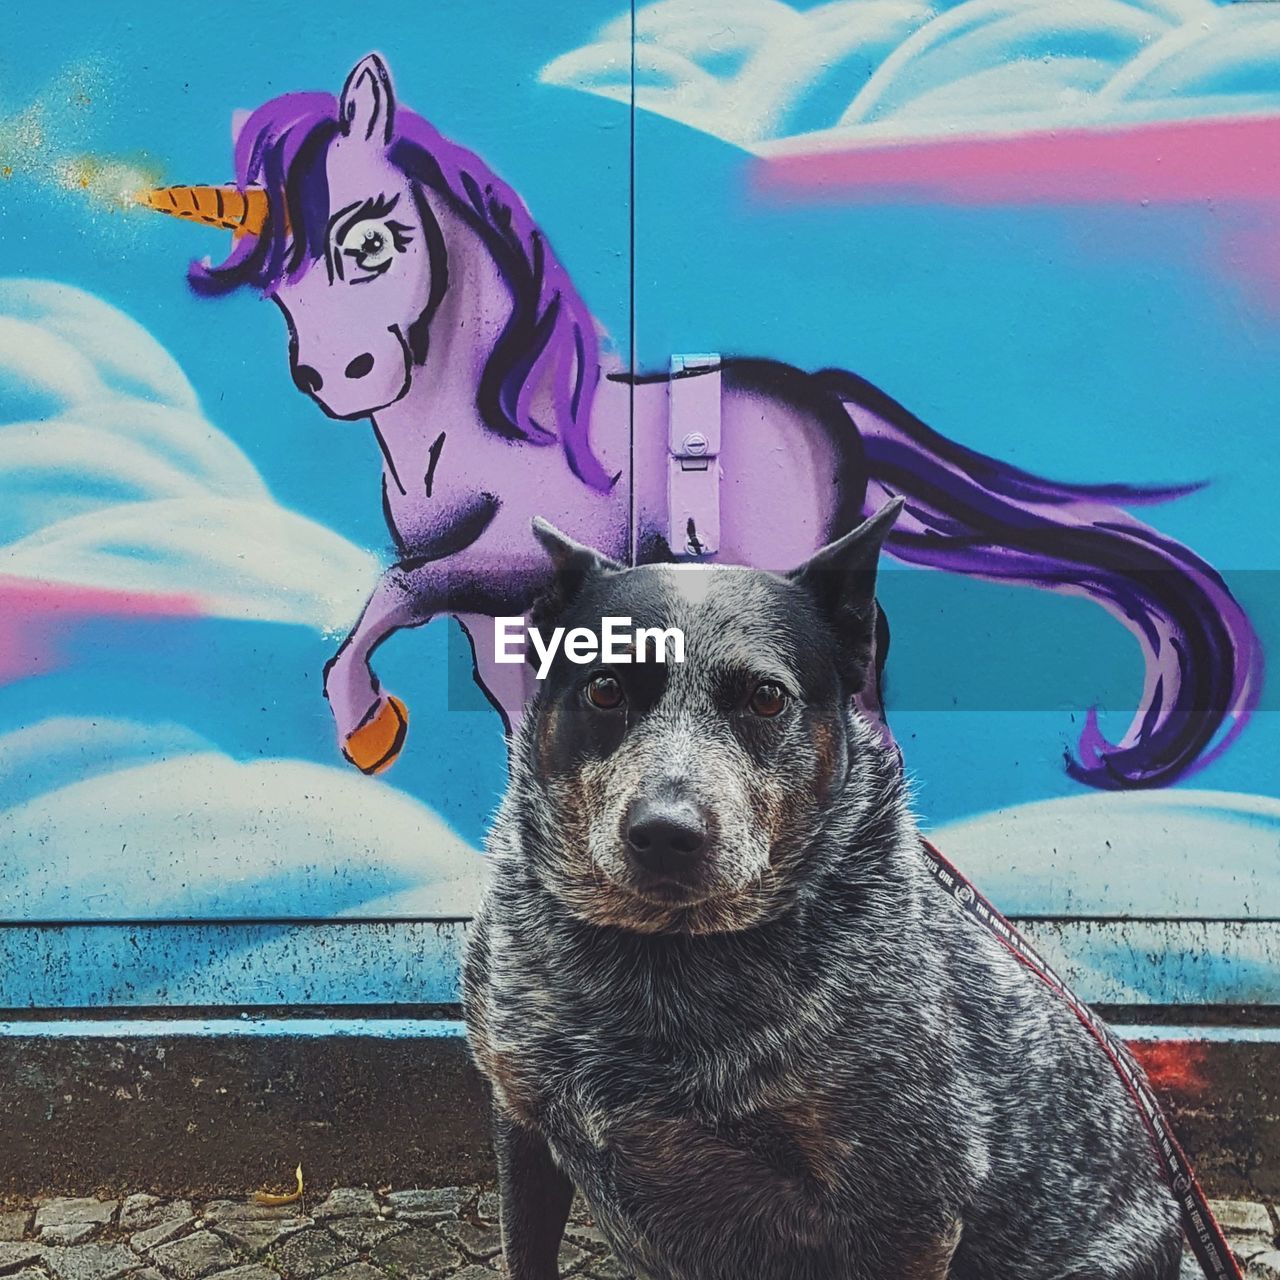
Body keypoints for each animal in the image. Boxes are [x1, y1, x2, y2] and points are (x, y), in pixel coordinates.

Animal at [460, 501, 1177, 1280]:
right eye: (605, 688)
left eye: (767, 697)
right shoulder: (519, 1118)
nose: (667, 832)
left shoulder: (907, 1207)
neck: (661, 965)